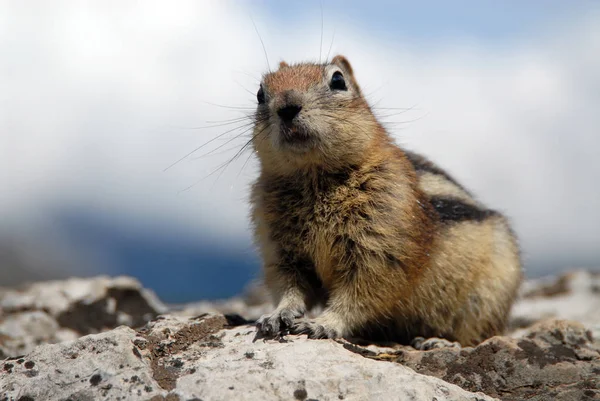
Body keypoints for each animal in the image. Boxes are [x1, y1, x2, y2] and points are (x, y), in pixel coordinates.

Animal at [250, 54, 520, 346]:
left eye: (338, 80)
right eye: (260, 93)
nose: (287, 107)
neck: (314, 179)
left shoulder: (380, 248)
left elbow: (360, 295)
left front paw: (323, 324)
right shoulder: (281, 250)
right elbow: (289, 286)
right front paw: (277, 314)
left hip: (486, 297)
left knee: (477, 335)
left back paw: (438, 341)